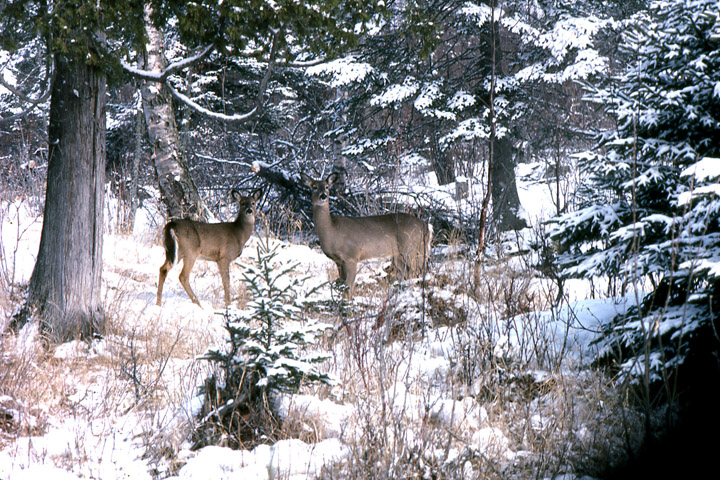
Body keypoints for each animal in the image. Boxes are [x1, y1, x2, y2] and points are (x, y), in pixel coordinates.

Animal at [300, 172, 430, 300]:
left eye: (327, 187)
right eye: (314, 187)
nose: (323, 196)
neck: (332, 231)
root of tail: (426, 225)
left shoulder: (351, 256)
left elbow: (348, 286)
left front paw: (348, 304)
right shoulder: (338, 261)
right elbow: (342, 285)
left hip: (411, 248)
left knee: (416, 273)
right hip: (402, 254)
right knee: (409, 274)